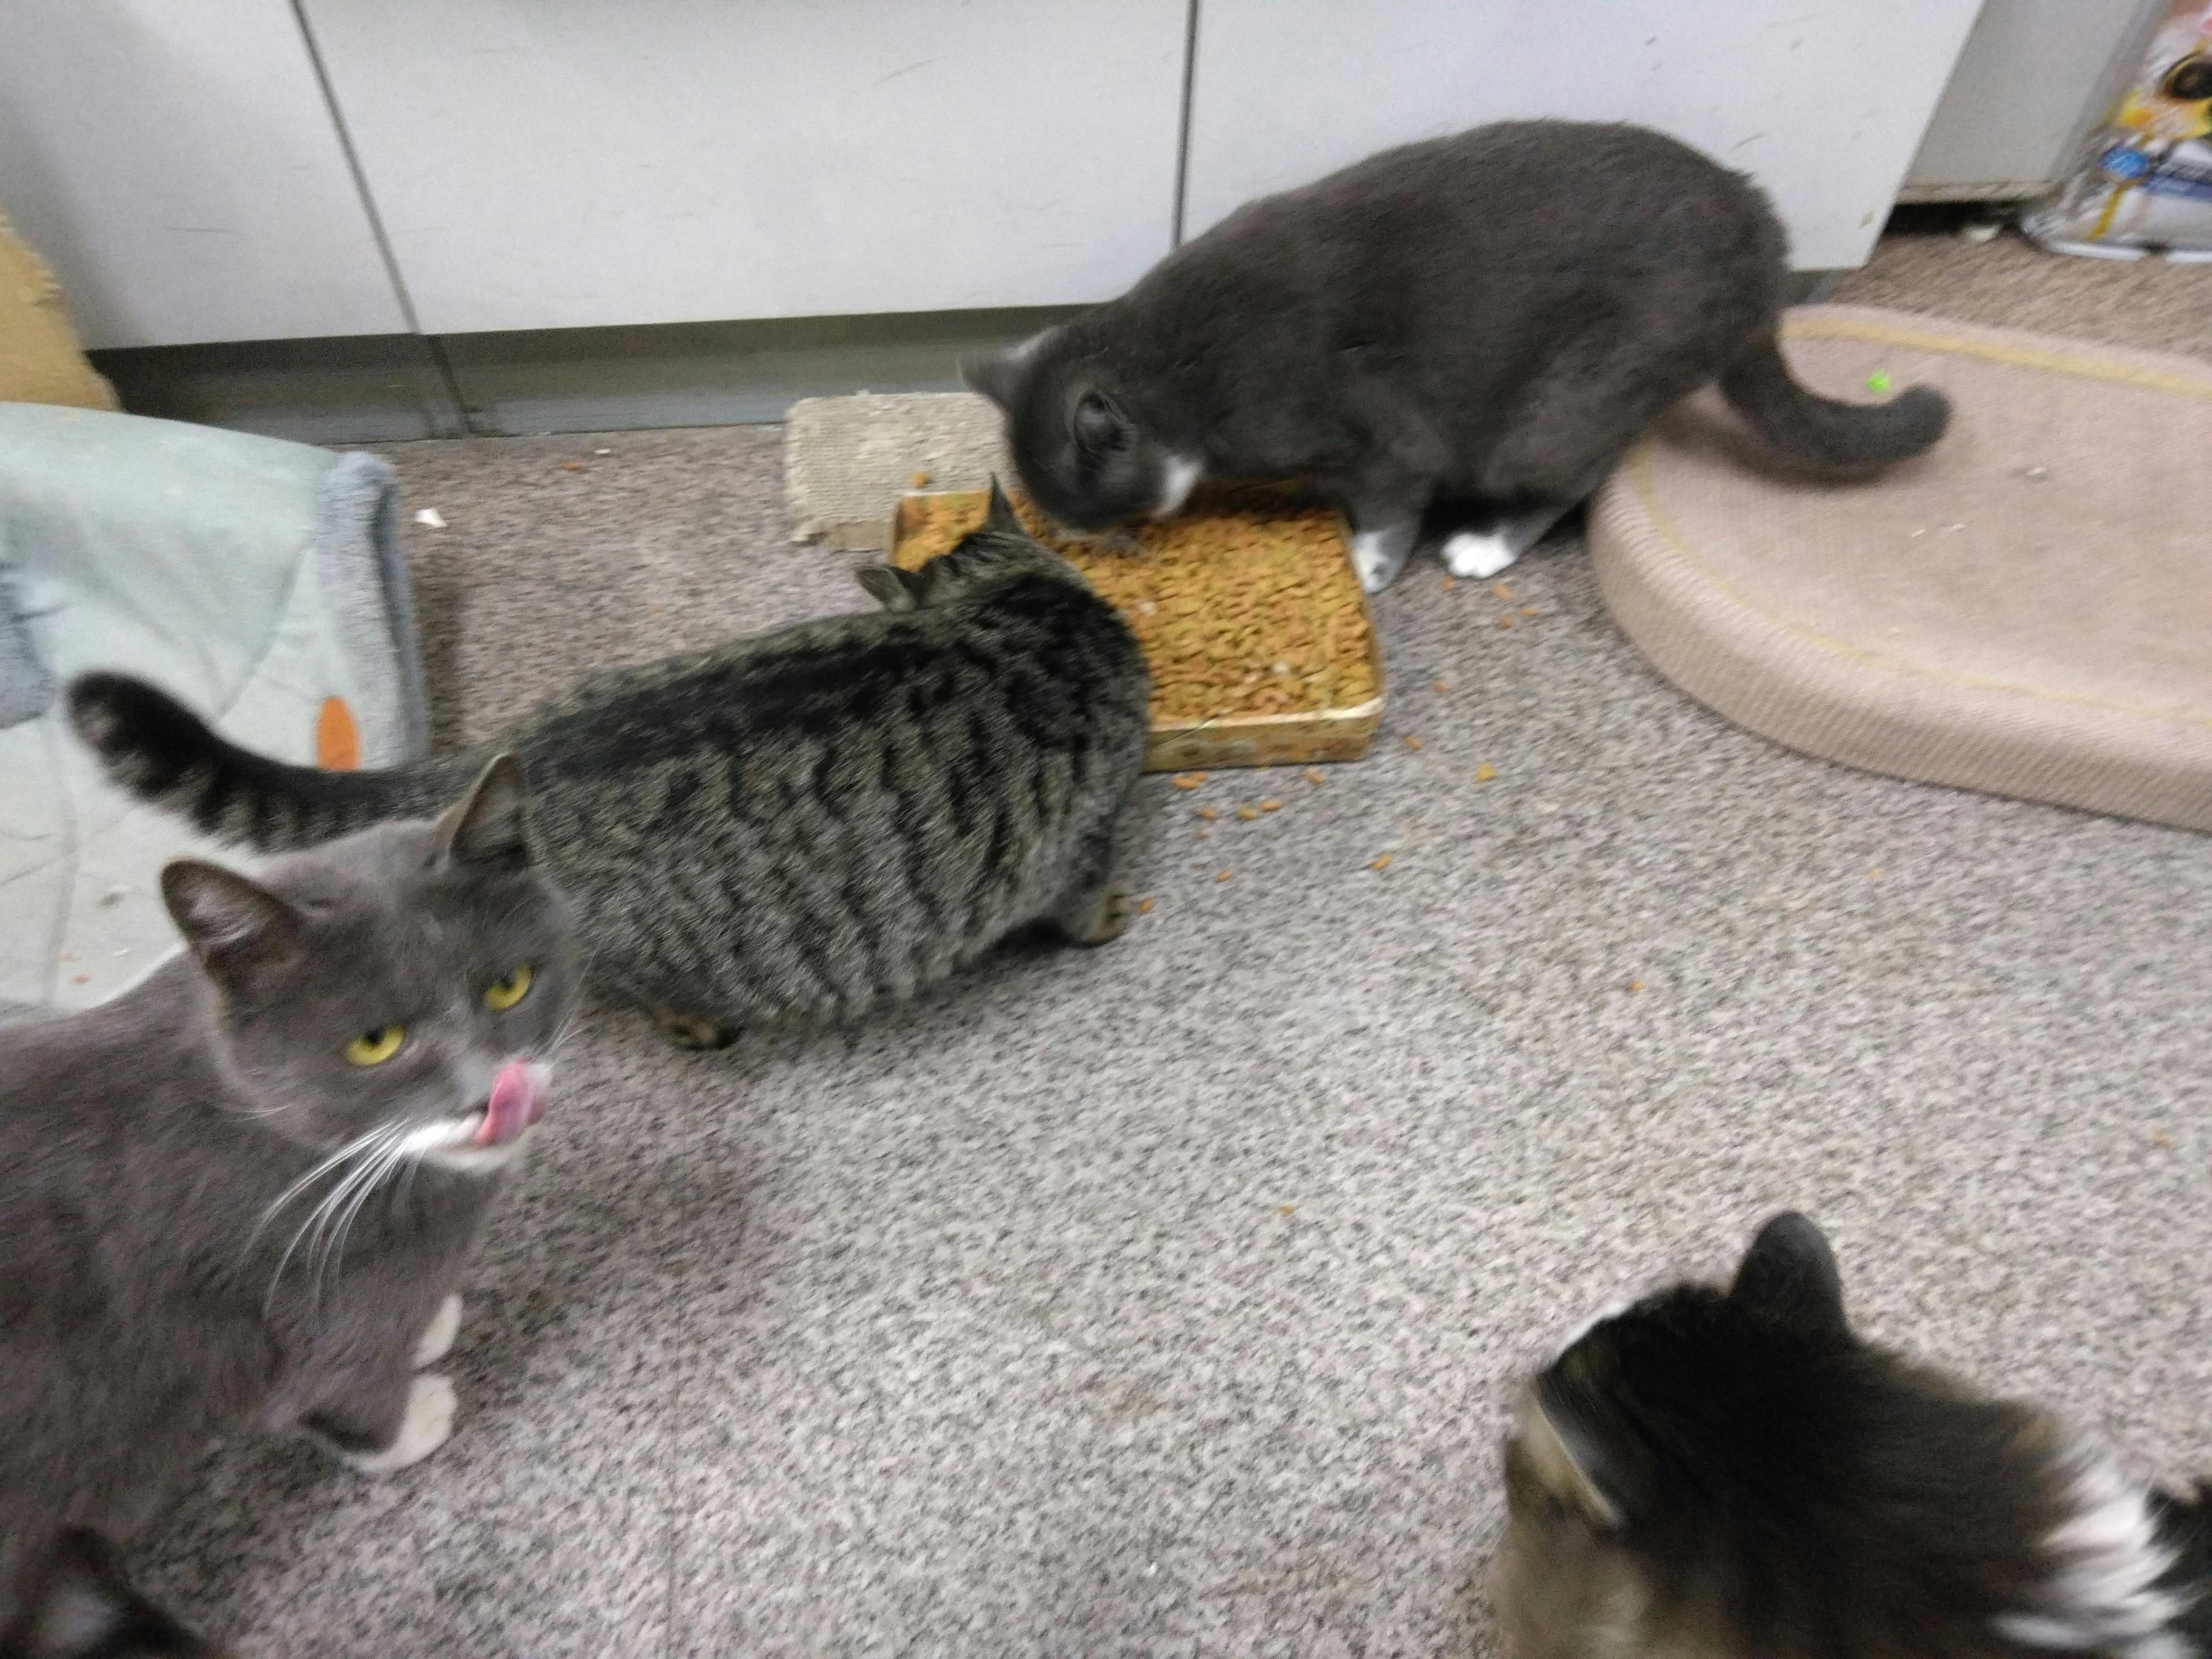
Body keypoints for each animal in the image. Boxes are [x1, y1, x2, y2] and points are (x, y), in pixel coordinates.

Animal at [0, 757, 577, 1656]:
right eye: (374, 1045)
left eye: (509, 986)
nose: (494, 1095)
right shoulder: (321, 1299)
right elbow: (346, 1386)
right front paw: (414, 1421)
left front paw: (431, 1325)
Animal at [962, 120, 1951, 594]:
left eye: (1094, 509)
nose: (1102, 545)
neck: (1174, 368)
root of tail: (1766, 240)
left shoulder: (1376, 431)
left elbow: (1391, 500)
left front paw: (1368, 566)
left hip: (1570, 397)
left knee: (1571, 476)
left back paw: (1487, 546)